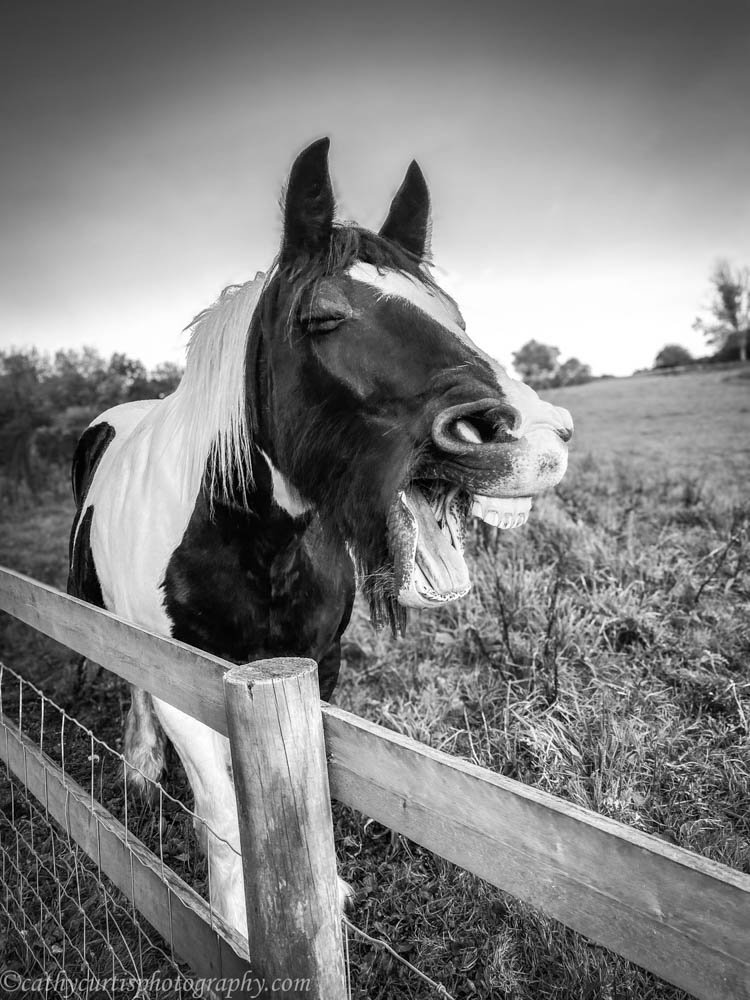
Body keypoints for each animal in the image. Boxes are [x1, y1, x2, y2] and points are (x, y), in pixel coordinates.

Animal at [67, 138, 574, 937]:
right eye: (325, 317)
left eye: (454, 313)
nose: (539, 437)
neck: (260, 545)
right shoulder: (184, 684)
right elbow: (221, 802)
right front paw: (235, 922)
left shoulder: (318, 666)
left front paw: (320, 892)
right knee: (132, 683)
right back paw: (141, 765)